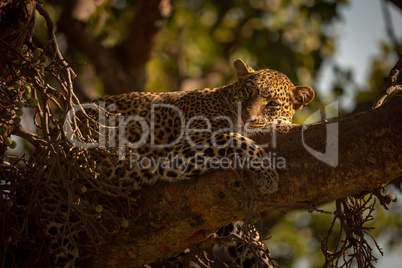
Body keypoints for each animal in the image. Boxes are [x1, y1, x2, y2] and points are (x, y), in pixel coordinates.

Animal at [50, 58, 314, 266]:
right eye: (247, 93)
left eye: (272, 104)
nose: (246, 117)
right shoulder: (182, 149)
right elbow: (235, 138)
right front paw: (267, 173)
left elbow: (251, 244)